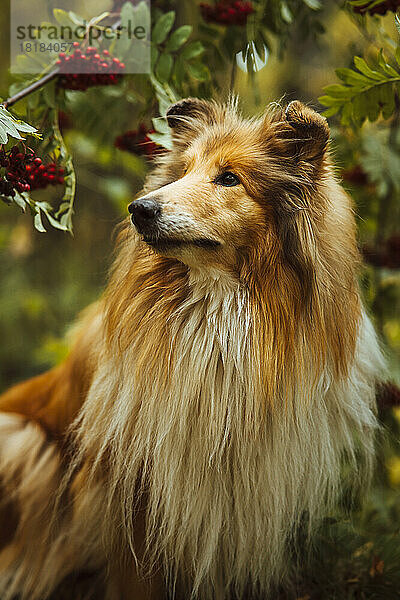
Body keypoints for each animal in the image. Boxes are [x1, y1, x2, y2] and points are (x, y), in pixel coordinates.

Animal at [0, 96, 384, 596]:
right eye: (181, 172)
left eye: (229, 178)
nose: (139, 209)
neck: (217, 319)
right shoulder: (131, 493)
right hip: (25, 441)